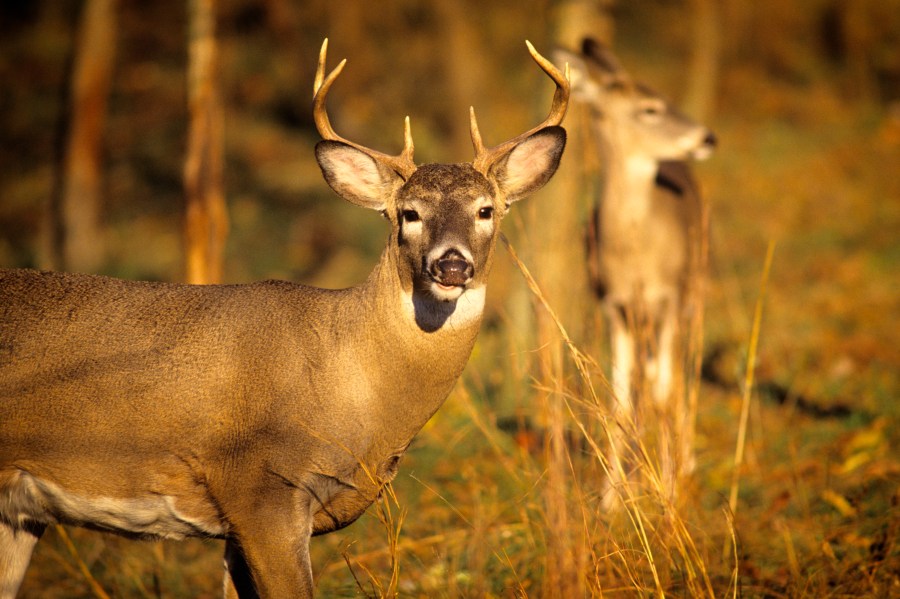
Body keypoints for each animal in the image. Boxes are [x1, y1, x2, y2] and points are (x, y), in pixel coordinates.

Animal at [554, 38, 715, 503]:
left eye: (663, 96)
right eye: (650, 108)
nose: (708, 137)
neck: (634, 257)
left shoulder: (669, 298)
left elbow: (664, 391)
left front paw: (670, 489)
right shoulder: (614, 305)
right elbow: (621, 399)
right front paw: (611, 497)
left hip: (696, 288)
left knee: (680, 371)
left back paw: (686, 461)